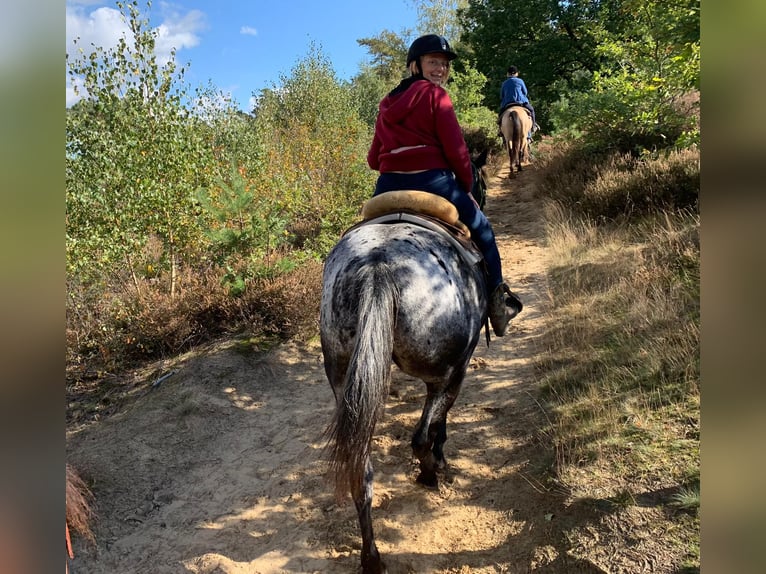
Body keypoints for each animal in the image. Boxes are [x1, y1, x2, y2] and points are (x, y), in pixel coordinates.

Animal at [322, 188, 492, 572]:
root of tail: (377, 268)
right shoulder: (459, 368)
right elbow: (439, 423)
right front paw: (441, 459)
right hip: (442, 372)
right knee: (420, 436)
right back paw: (430, 475)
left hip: (342, 376)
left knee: (360, 471)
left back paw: (372, 558)